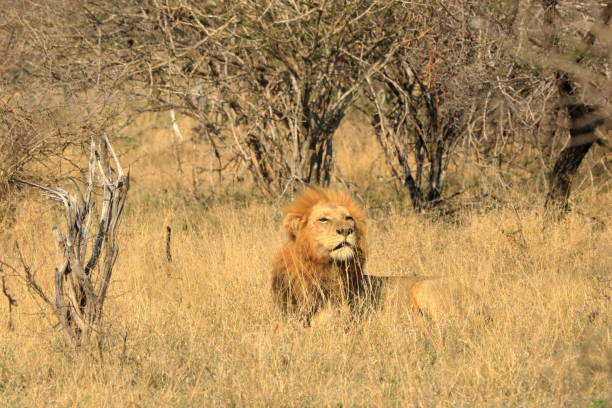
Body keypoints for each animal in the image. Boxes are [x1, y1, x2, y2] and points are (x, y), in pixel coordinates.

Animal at [270, 187, 452, 326]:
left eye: (348, 217)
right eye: (323, 219)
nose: (346, 230)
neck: (321, 266)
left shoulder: (336, 318)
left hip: (424, 288)